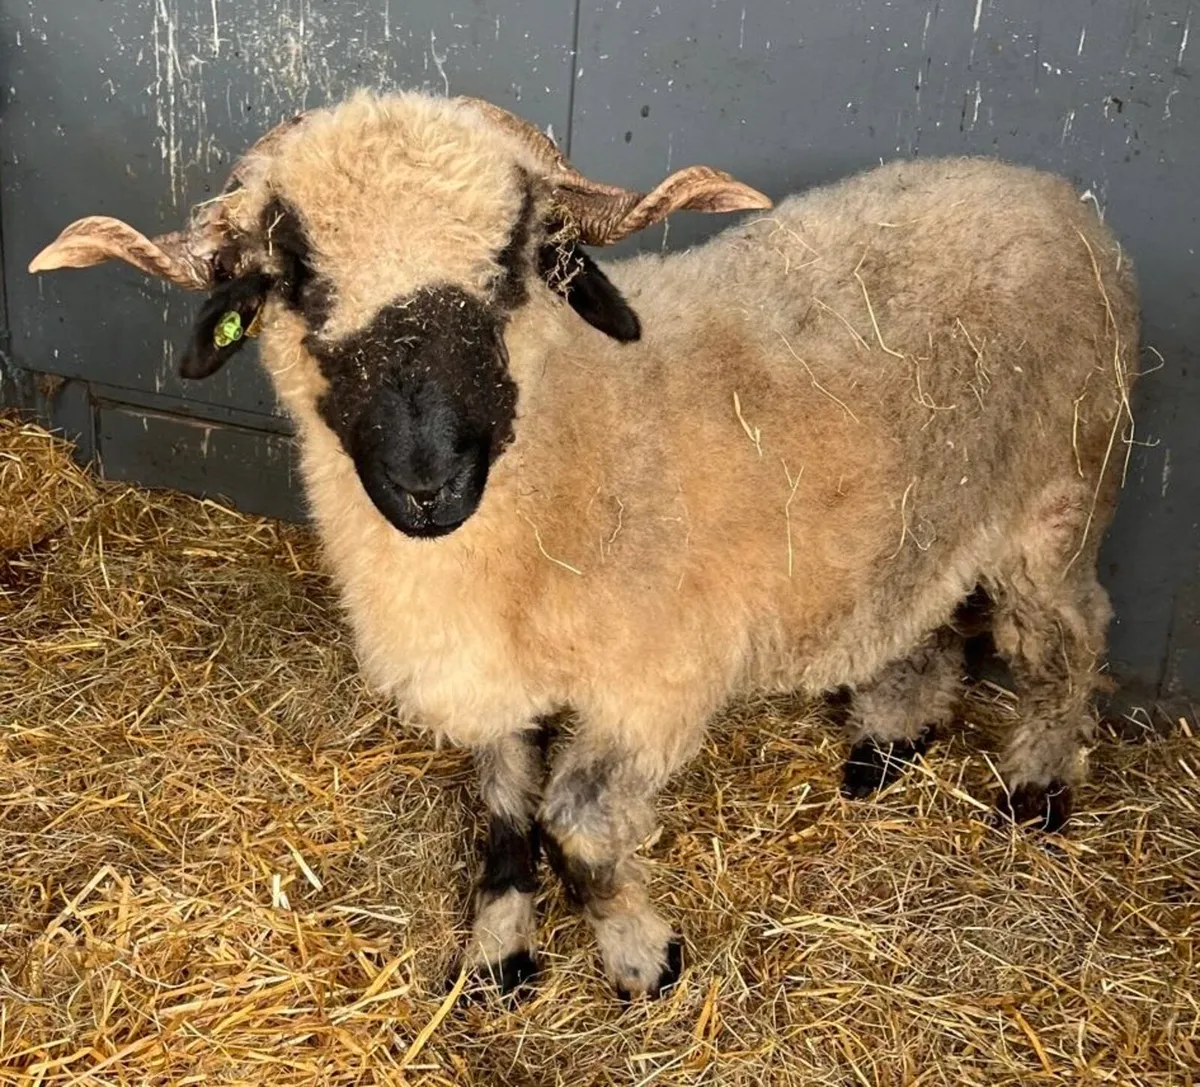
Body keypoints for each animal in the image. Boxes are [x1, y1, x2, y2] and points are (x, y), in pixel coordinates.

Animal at [30, 89, 1139, 999]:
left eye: (512, 261)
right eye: (297, 273)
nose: (429, 480)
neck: (574, 450)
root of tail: (1061, 196)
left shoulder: (657, 686)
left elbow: (580, 830)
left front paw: (643, 956)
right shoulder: (498, 688)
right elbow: (503, 815)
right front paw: (497, 953)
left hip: (1061, 495)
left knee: (1070, 635)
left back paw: (1039, 786)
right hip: (922, 510)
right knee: (926, 614)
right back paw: (888, 739)